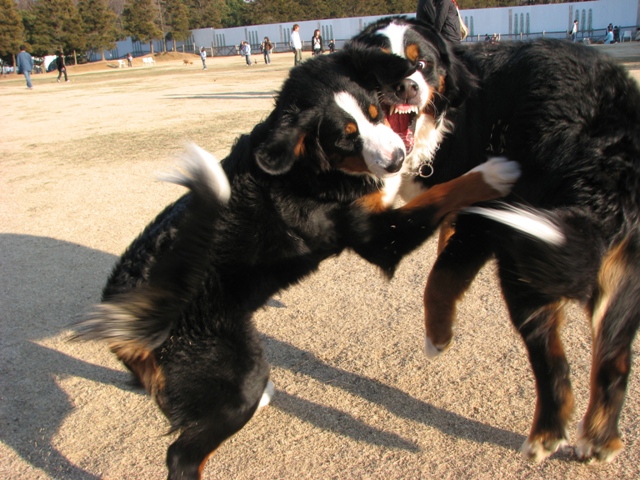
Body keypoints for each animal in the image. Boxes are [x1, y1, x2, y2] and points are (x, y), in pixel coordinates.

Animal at [72, 44, 525, 480]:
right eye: (345, 138)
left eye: (376, 114)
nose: (396, 157)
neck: (313, 168)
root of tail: (128, 307)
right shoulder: (376, 237)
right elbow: (442, 194)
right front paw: (494, 172)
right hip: (237, 377)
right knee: (182, 457)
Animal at [354, 16, 640, 463]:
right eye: (381, 64)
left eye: (422, 64)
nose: (405, 87)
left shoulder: (481, 221)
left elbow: (438, 279)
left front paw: (438, 339)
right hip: (619, 268)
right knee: (614, 360)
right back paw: (599, 439)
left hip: (523, 254)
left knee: (552, 361)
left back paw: (545, 435)